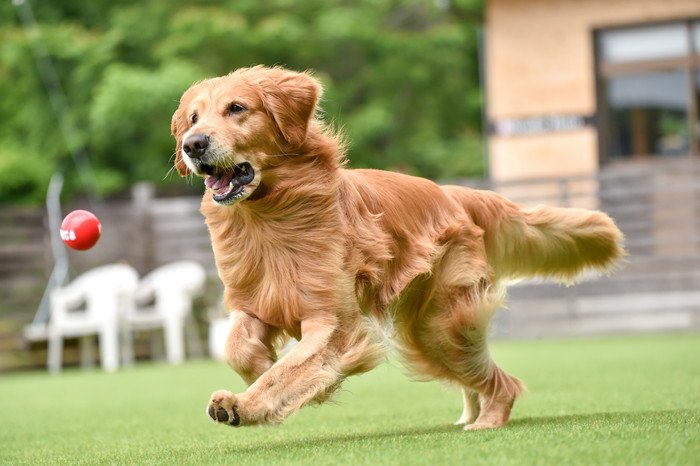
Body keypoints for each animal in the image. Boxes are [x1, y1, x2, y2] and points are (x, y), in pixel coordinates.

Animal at [170, 64, 624, 430]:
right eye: (194, 117)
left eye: (237, 108)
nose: (192, 144)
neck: (268, 217)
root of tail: (452, 193)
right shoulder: (254, 301)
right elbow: (238, 349)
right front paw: (259, 372)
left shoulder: (333, 322)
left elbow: (293, 368)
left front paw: (248, 403)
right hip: (430, 333)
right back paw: (472, 415)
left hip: (441, 326)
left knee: (504, 382)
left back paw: (488, 421)